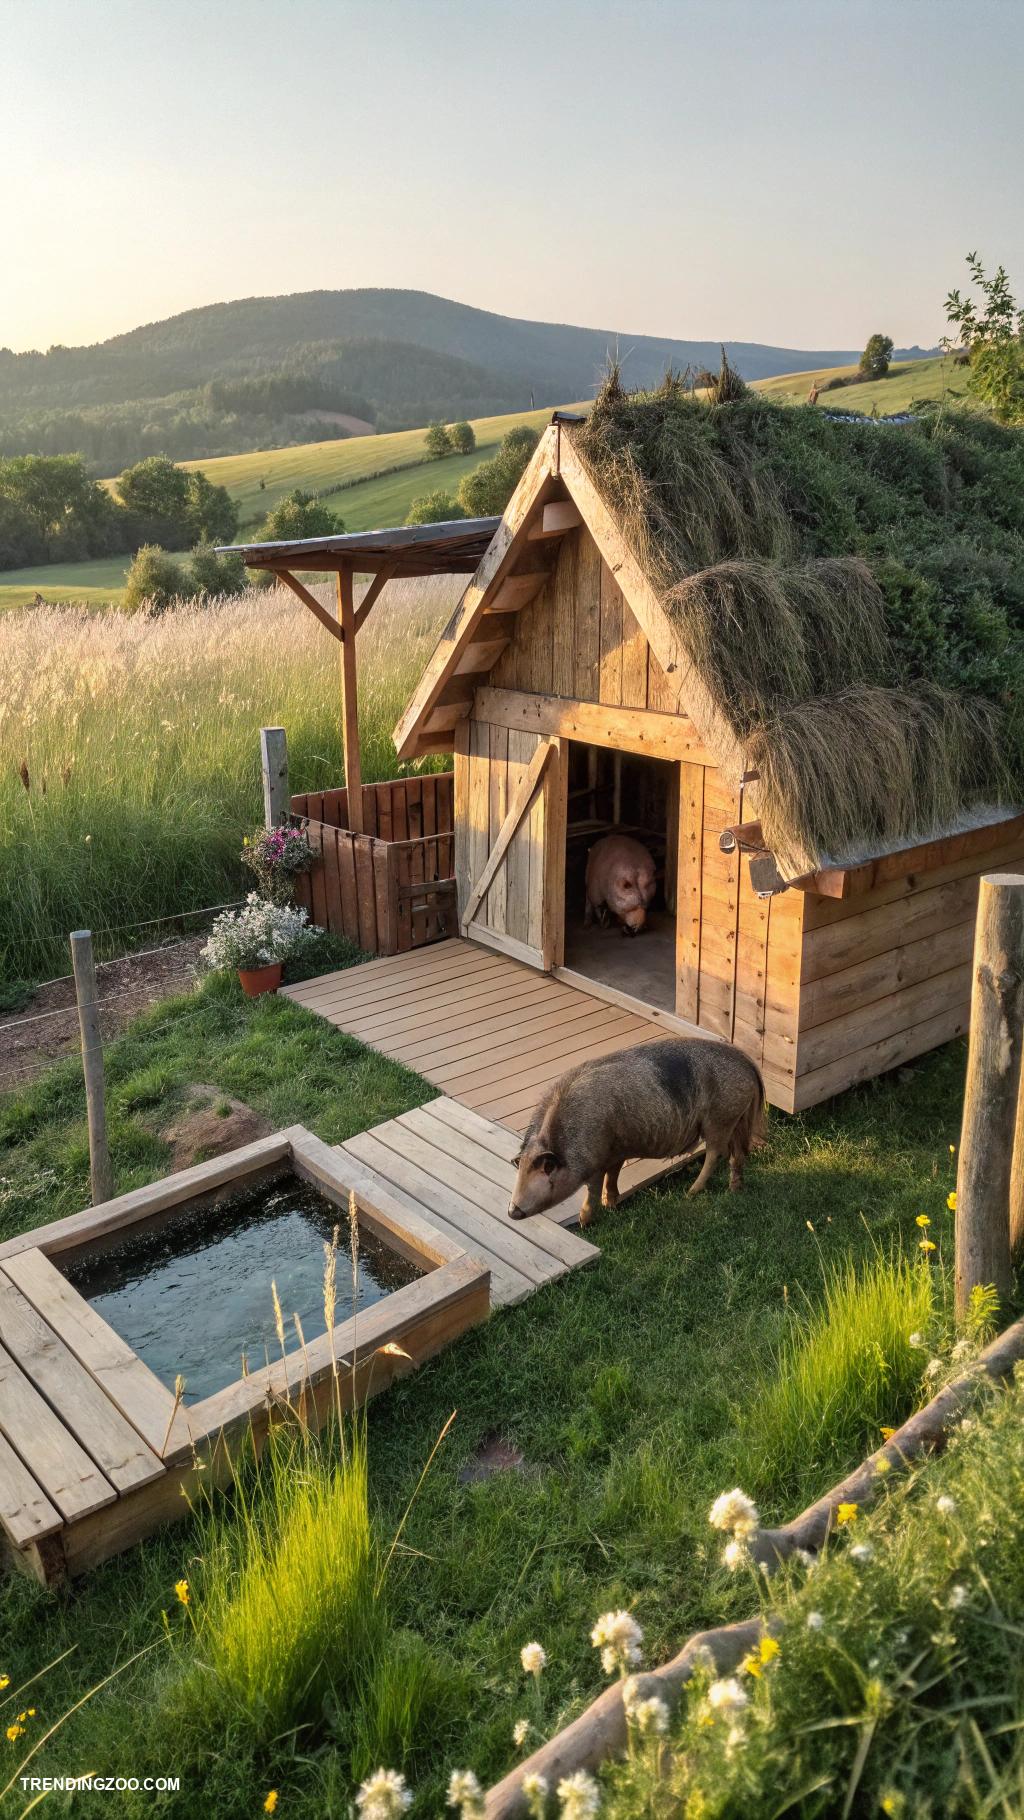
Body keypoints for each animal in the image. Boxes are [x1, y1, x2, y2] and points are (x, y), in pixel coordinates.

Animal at [508, 1038, 765, 1225]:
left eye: (546, 1169)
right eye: (520, 1169)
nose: (512, 1212)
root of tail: (748, 1063)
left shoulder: (596, 1160)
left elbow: (593, 1186)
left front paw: (584, 1222)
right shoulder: (617, 1149)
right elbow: (613, 1174)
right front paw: (611, 1203)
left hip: (720, 1117)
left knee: (715, 1153)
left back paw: (691, 1192)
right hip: (737, 1117)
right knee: (737, 1153)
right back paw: (734, 1189)